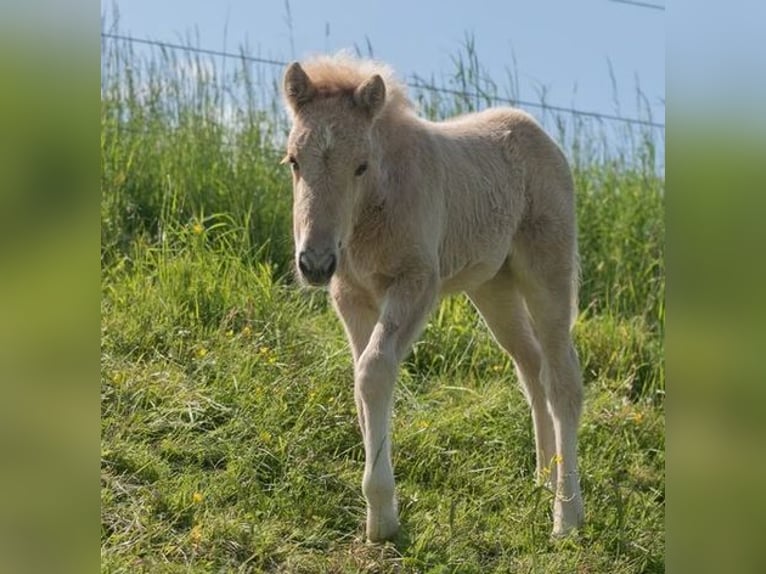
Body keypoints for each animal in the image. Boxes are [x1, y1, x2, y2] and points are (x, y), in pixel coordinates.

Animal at [282, 55, 588, 544]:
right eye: (294, 161)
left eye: (361, 166)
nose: (315, 263)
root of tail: (541, 135)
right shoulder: (351, 296)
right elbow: (362, 380)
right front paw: (380, 510)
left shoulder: (416, 284)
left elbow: (374, 372)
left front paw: (382, 519)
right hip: (493, 287)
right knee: (530, 366)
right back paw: (543, 476)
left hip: (548, 273)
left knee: (562, 380)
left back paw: (566, 516)